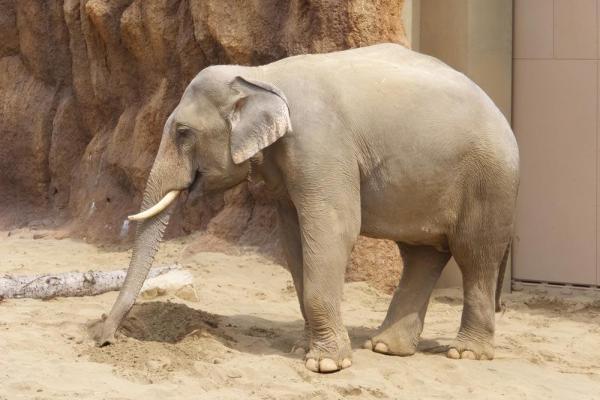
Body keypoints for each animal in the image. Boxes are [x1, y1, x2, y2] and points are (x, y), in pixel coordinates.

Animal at [91, 43, 516, 376]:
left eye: (183, 133)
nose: (103, 341)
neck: (259, 75)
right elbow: (295, 238)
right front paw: (303, 350)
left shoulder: (320, 144)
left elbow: (334, 228)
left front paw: (325, 365)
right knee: (421, 255)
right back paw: (385, 348)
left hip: (488, 181)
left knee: (475, 255)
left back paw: (465, 353)